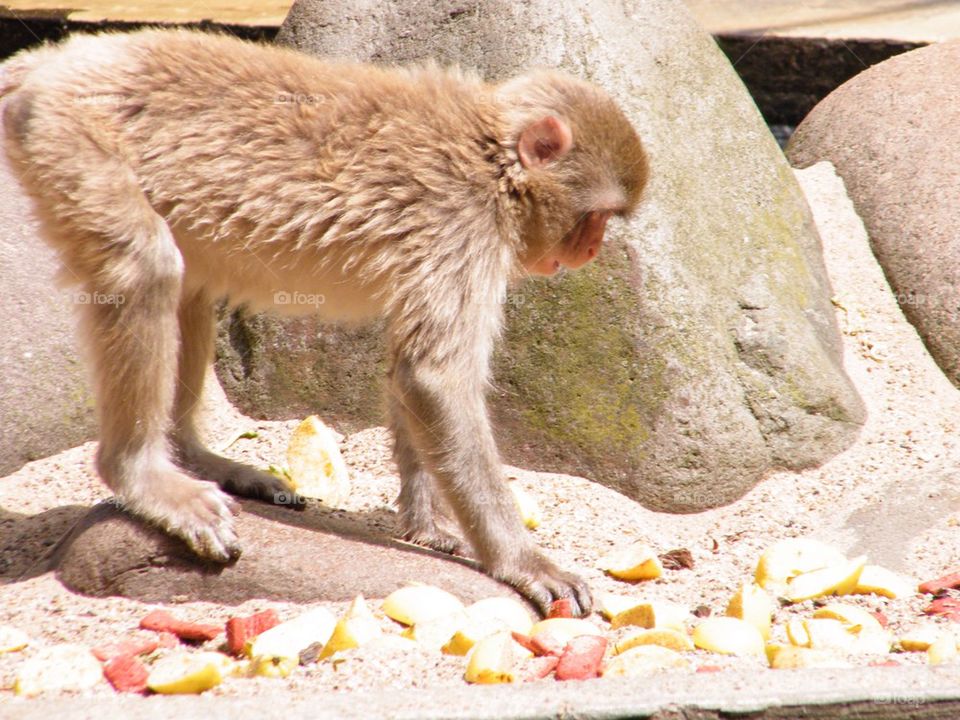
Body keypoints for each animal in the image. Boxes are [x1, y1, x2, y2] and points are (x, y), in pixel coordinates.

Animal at [0, 30, 648, 615]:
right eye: (596, 218)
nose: (593, 250)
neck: (491, 158)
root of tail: (53, 59)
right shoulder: (464, 225)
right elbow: (434, 377)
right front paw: (521, 561)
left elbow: (407, 373)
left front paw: (426, 523)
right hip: (68, 134)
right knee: (148, 266)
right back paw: (140, 474)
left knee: (188, 282)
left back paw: (188, 454)